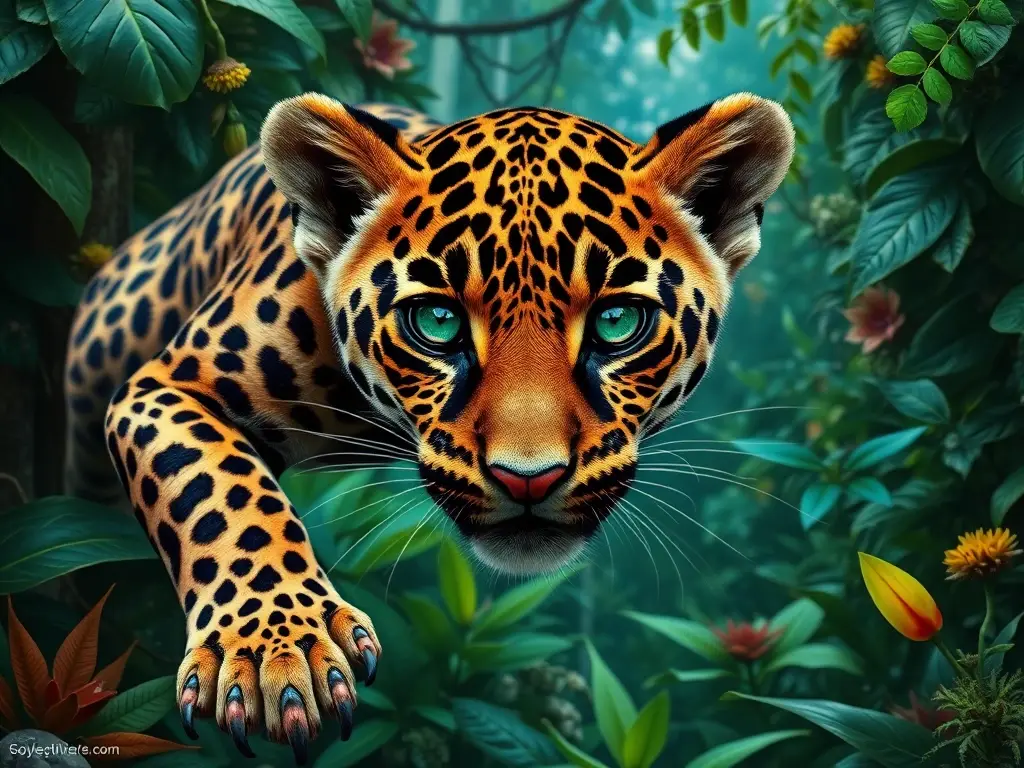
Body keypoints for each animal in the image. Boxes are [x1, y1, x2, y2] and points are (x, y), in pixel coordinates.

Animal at [64, 93, 793, 762]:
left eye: (617, 322)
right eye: (436, 322)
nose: (528, 479)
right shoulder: (163, 386)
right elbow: (221, 491)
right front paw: (278, 650)